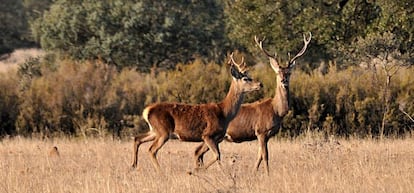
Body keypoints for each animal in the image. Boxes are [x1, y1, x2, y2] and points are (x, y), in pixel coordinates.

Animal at [133, 53, 262, 172]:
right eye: (245, 78)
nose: (260, 84)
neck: (224, 112)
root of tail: (146, 111)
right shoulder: (207, 135)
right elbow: (216, 155)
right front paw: (198, 170)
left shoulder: (216, 138)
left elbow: (206, 155)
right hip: (163, 131)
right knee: (151, 150)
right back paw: (160, 171)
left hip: (155, 130)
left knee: (137, 138)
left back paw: (133, 165)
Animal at [194, 32, 310, 174]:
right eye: (278, 72)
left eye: (289, 73)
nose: (284, 81)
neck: (276, 110)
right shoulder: (261, 131)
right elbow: (265, 155)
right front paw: (267, 174)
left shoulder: (265, 135)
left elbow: (259, 155)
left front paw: (254, 172)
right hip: (212, 135)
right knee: (198, 151)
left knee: (198, 152)